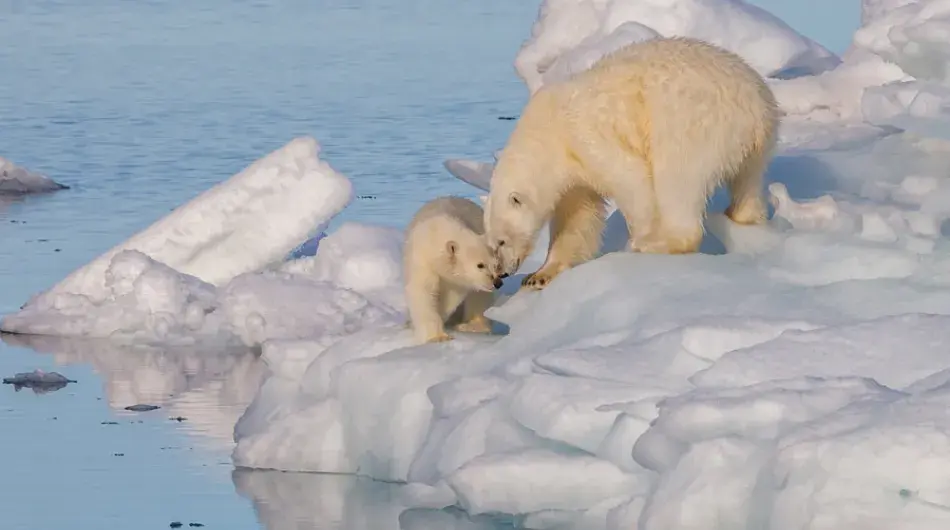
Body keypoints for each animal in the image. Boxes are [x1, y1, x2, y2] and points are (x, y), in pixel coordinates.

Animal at [403, 196, 506, 344]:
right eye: (480, 265)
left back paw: (472, 326)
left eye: (496, 265)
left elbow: (450, 297)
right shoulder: (422, 260)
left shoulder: (457, 280)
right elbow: (423, 292)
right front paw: (437, 336)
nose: (497, 282)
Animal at [483, 36, 780, 290]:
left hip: (692, 124)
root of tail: (757, 106)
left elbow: (631, 179)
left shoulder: (586, 137)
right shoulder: (572, 175)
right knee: (748, 182)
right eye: (491, 243)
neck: (548, 133)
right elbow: (577, 218)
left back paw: (656, 244)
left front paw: (640, 238)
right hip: (754, 145)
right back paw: (742, 216)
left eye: (501, 241)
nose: (503, 273)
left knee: (678, 181)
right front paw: (540, 275)